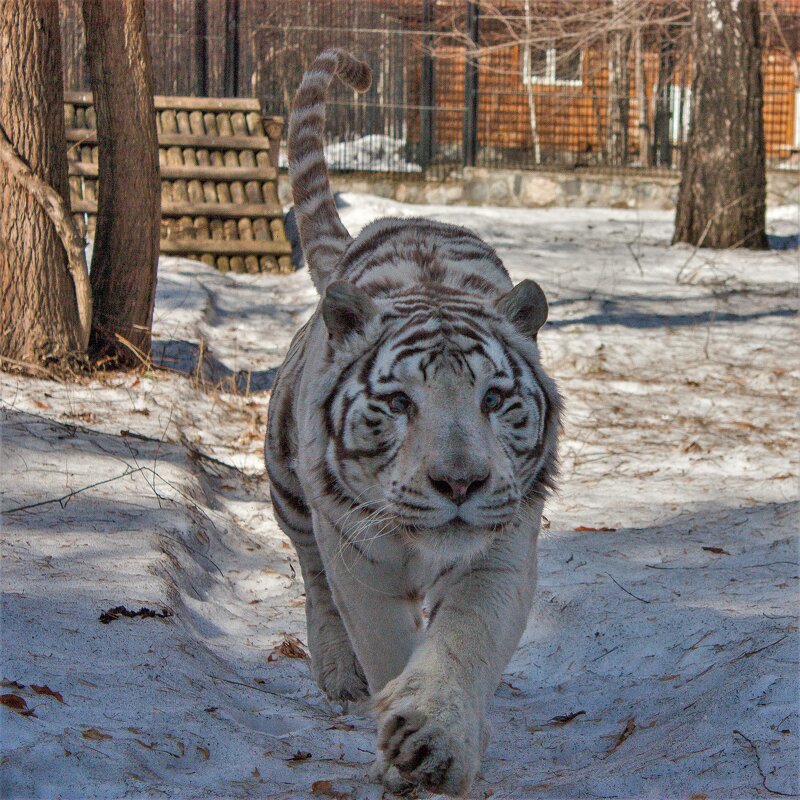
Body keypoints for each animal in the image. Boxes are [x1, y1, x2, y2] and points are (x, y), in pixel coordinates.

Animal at [266, 48, 560, 792]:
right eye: (400, 404)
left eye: (493, 400)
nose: (459, 484)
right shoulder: (359, 558)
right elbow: (386, 645)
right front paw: (396, 737)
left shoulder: (501, 553)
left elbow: (461, 644)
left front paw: (434, 740)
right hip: (290, 492)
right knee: (313, 579)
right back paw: (338, 674)